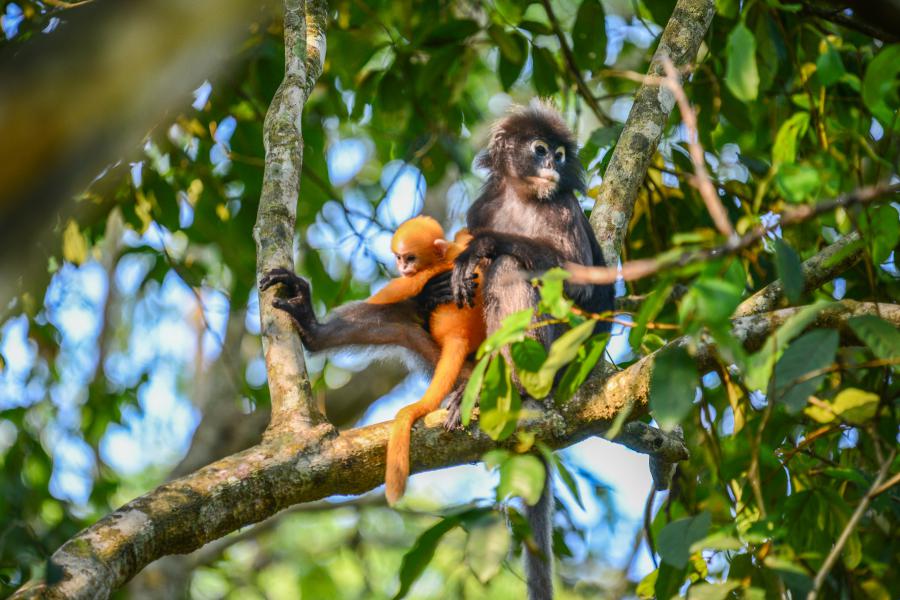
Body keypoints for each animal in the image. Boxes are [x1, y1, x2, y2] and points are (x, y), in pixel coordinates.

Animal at [367, 216, 485, 504]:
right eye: (399, 257)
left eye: (410, 258)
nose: (402, 266)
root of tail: (459, 335)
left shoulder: (417, 279)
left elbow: (374, 303)